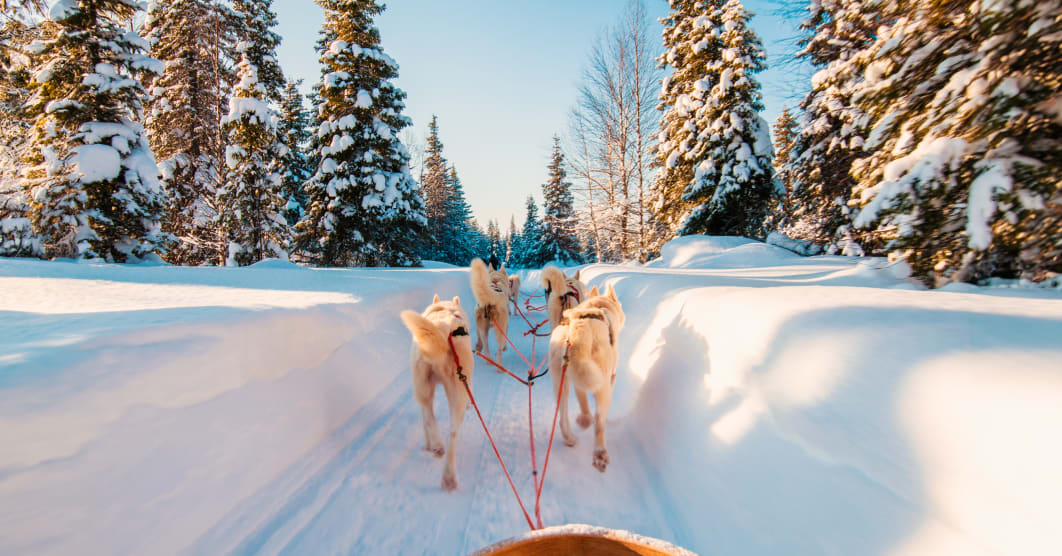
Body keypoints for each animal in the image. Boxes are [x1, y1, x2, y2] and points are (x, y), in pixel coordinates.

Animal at [399, 294, 475, 490]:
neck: (446, 311)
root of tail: (443, 328)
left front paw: (428, 444)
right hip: (455, 391)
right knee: (451, 433)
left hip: (424, 388)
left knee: (431, 419)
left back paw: (438, 449)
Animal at [547, 284, 620, 471]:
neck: (599, 306)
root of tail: (577, 333)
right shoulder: (610, 376)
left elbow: (583, 400)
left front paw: (584, 419)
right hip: (601, 384)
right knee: (599, 421)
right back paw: (600, 454)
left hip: (562, 381)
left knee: (562, 418)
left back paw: (571, 437)